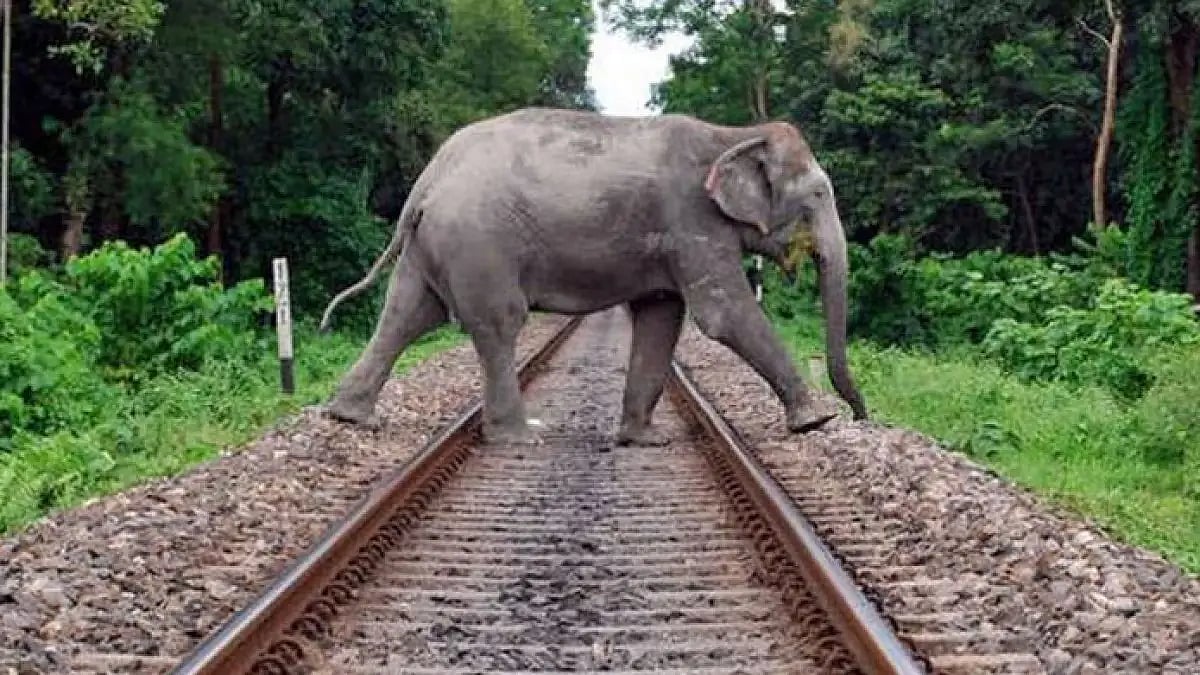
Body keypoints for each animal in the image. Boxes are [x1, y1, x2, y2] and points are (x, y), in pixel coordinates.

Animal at [318, 107, 868, 446]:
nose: (861, 415)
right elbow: (723, 315)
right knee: (498, 323)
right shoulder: (691, 220)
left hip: (434, 244)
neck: (732, 134)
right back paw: (520, 437)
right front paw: (816, 420)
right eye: (818, 195)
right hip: (478, 242)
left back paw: (348, 416)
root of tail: (429, 178)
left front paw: (643, 440)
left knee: (407, 314)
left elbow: (660, 316)